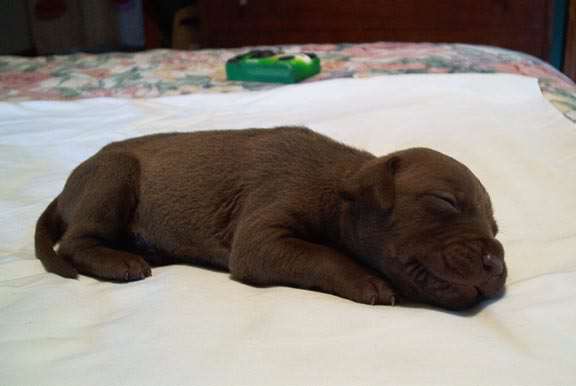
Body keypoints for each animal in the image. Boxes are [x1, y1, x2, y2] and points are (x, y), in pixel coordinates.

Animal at [35, 126, 504, 310]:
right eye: (444, 201)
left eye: (495, 227)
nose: (497, 264)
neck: (338, 188)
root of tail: (64, 189)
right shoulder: (262, 236)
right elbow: (324, 255)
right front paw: (367, 281)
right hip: (113, 175)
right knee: (76, 242)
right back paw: (119, 261)